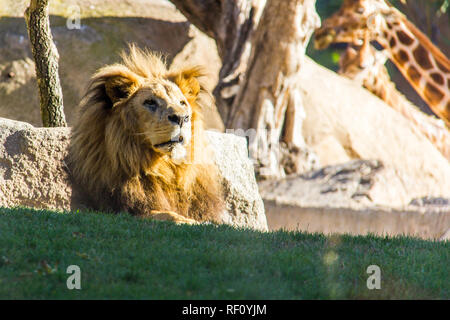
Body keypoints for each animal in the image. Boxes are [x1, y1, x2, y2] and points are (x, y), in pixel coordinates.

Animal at [69, 45, 225, 225]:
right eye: (150, 102)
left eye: (182, 103)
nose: (182, 118)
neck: (164, 170)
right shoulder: (121, 210)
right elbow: (167, 214)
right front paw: (192, 222)